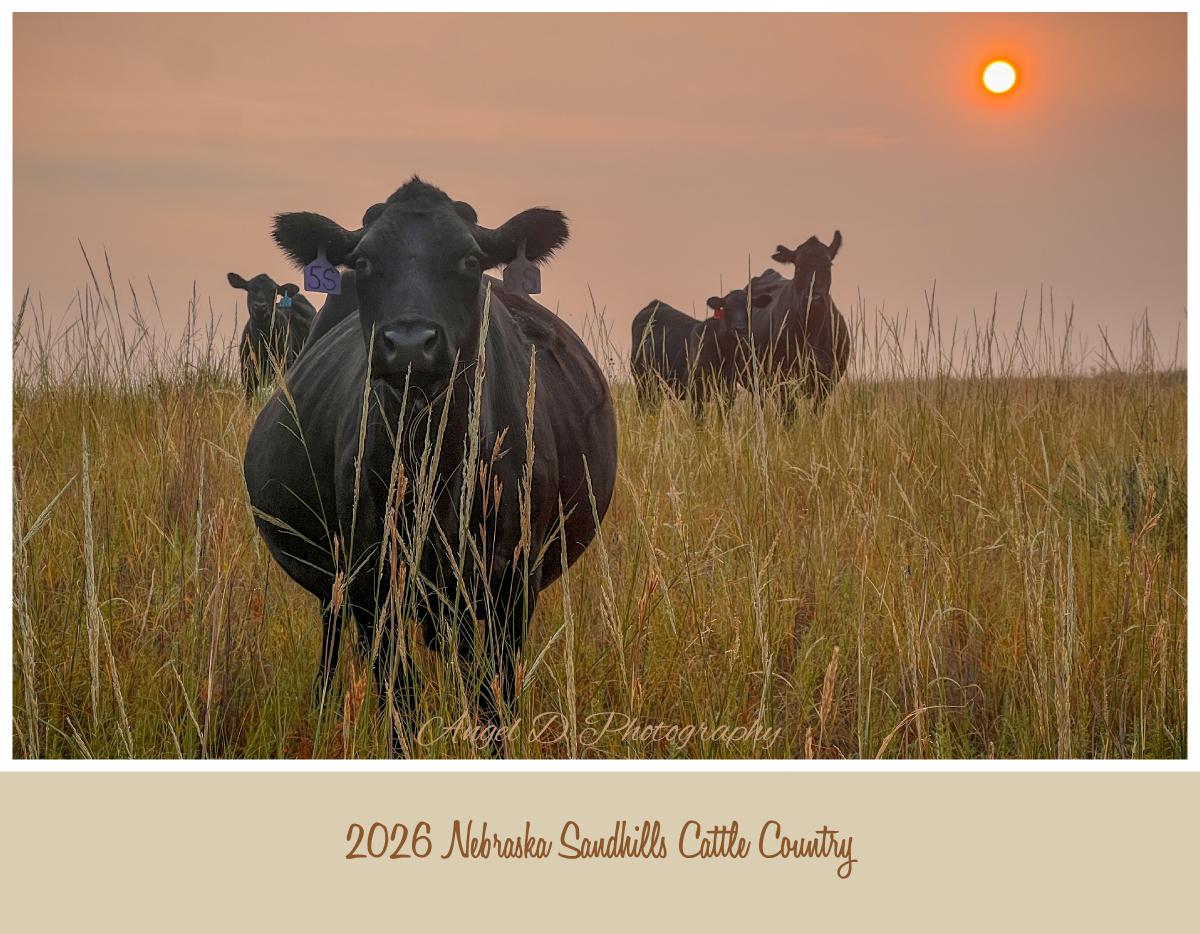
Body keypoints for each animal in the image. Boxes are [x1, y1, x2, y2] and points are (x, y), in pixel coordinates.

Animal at [242, 177, 618, 756]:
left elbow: (493, 699)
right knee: (333, 639)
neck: (434, 464)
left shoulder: (513, 580)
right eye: (365, 261)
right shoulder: (373, 580)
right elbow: (399, 702)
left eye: (470, 260)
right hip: (339, 582)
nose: (410, 343)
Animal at [630, 287, 771, 415]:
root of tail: (656, 303)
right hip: (642, 381)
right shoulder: (696, 389)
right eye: (726, 308)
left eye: (749, 308)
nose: (740, 328)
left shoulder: (728, 389)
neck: (725, 353)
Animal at [741, 232, 850, 415]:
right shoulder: (783, 376)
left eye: (828, 265)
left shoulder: (827, 380)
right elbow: (790, 413)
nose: (814, 299)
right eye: (798, 267)